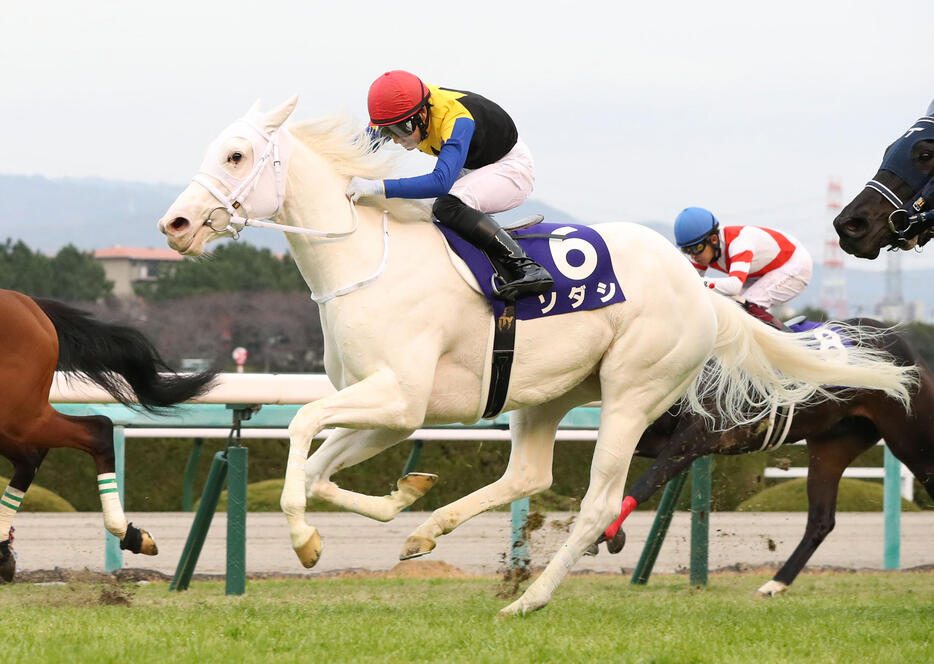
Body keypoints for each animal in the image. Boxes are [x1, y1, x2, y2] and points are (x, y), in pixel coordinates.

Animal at [592, 318, 934, 596]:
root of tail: (906, 347)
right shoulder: (653, 433)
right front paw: (607, 529)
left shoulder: (698, 435)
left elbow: (646, 482)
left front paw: (604, 532)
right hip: (832, 446)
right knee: (821, 520)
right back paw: (775, 583)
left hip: (911, 440)